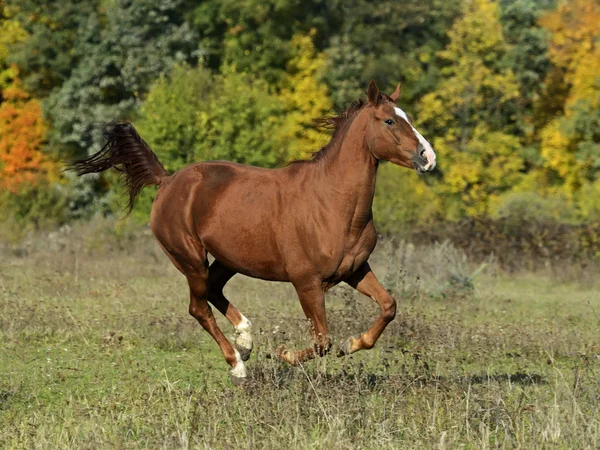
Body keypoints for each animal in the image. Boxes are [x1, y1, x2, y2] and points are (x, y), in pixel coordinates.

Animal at [69, 80, 436, 380]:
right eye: (390, 121)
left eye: (407, 117)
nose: (428, 157)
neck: (331, 201)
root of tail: (167, 181)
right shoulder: (307, 282)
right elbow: (322, 341)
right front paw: (284, 354)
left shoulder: (356, 270)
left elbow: (388, 306)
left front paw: (353, 343)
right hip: (190, 259)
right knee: (198, 307)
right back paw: (237, 364)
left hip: (228, 259)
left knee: (214, 291)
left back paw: (245, 340)